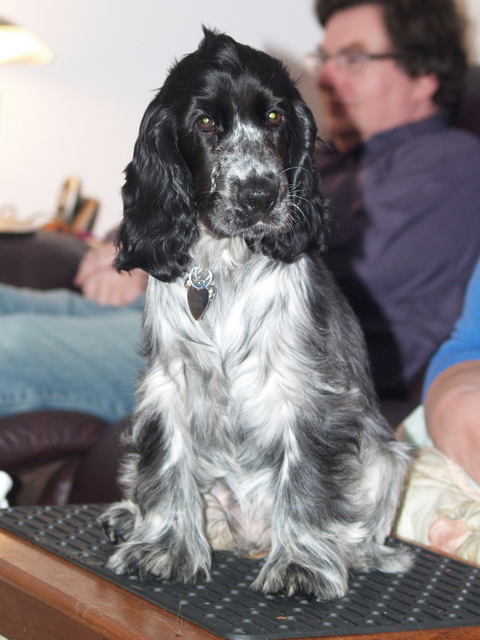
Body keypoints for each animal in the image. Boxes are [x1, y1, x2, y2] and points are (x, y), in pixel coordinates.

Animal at [98, 28, 412, 600]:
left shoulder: (307, 392)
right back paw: (131, 516)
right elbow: (168, 466)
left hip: (385, 458)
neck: (223, 269)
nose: (261, 193)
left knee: (363, 525)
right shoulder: (167, 386)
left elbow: (306, 482)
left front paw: (301, 565)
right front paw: (165, 549)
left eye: (274, 118)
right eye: (204, 123)